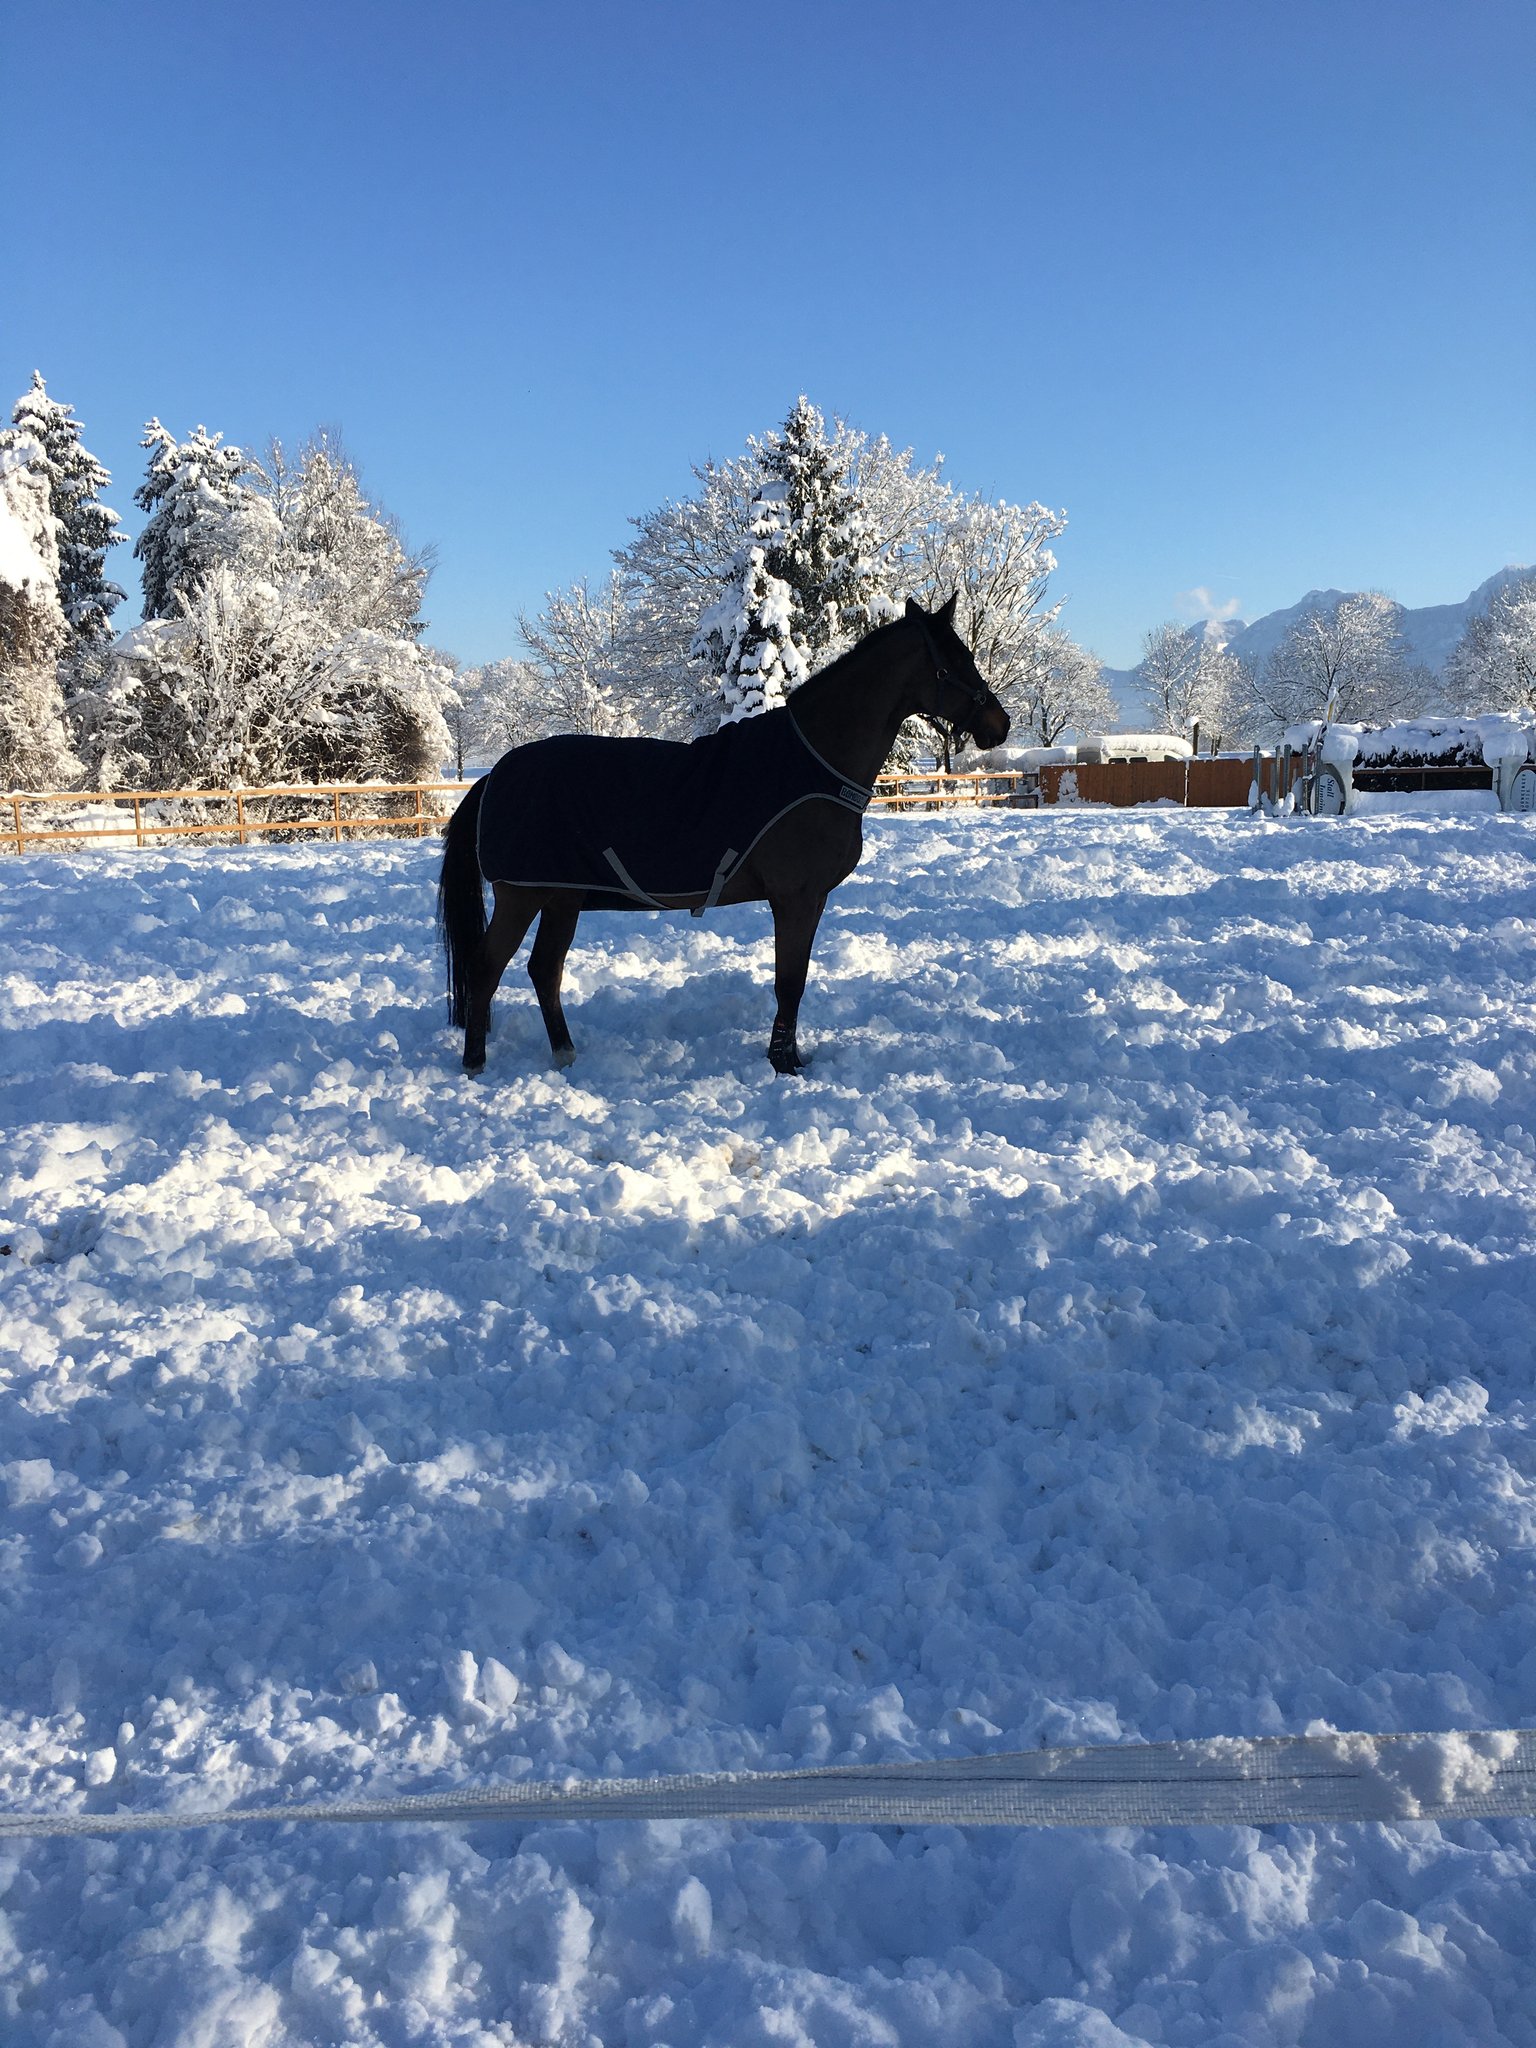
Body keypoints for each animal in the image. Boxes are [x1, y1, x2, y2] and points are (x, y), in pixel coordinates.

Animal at [437, 594, 1010, 1076]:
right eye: (953, 661)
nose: (999, 725)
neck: (811, 762)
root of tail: (495, 776)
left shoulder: (808, 900)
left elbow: (794, 981)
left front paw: (789, 1056)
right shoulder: (796, 898)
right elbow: (789, 982)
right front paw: (785, 1064)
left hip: (561, 899)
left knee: (544, 970)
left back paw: (565, 1054)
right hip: (522, 897)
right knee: (486, 968)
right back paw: (475, 1064)